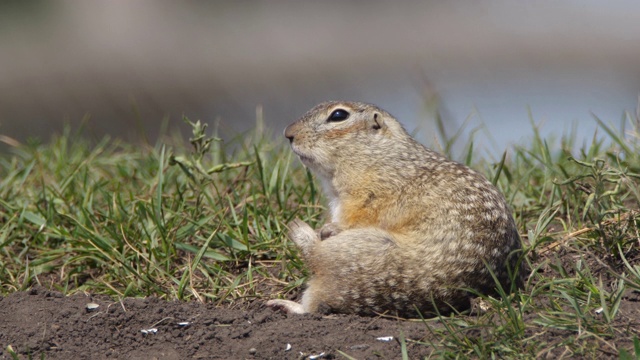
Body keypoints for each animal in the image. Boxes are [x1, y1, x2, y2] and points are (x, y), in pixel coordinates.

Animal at [268, 100, 524, 316]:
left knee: (316, 268)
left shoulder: (369, 197)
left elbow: (358, 218)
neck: (379, 157)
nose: (288, 133)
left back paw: (298, 233)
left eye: (338, 115)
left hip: (362, 250)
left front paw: (328, 228)